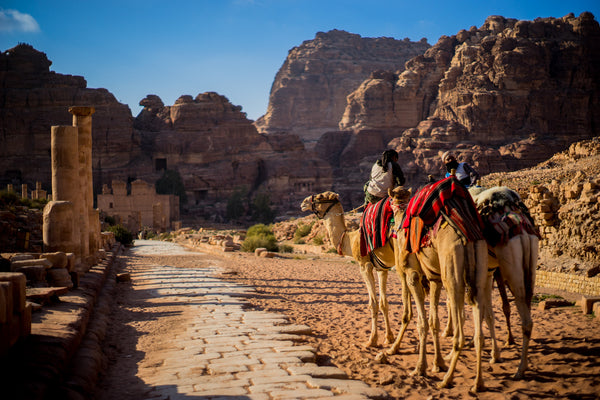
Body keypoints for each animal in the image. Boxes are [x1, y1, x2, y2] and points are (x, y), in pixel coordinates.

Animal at [300, 192, 398, 348]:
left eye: (320, 197)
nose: (303, 203)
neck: (350, 239)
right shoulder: (382, 268)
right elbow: (384, 303)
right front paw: (388, 338)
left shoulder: (364, 266)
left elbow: (373, 303)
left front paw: (372, 340)